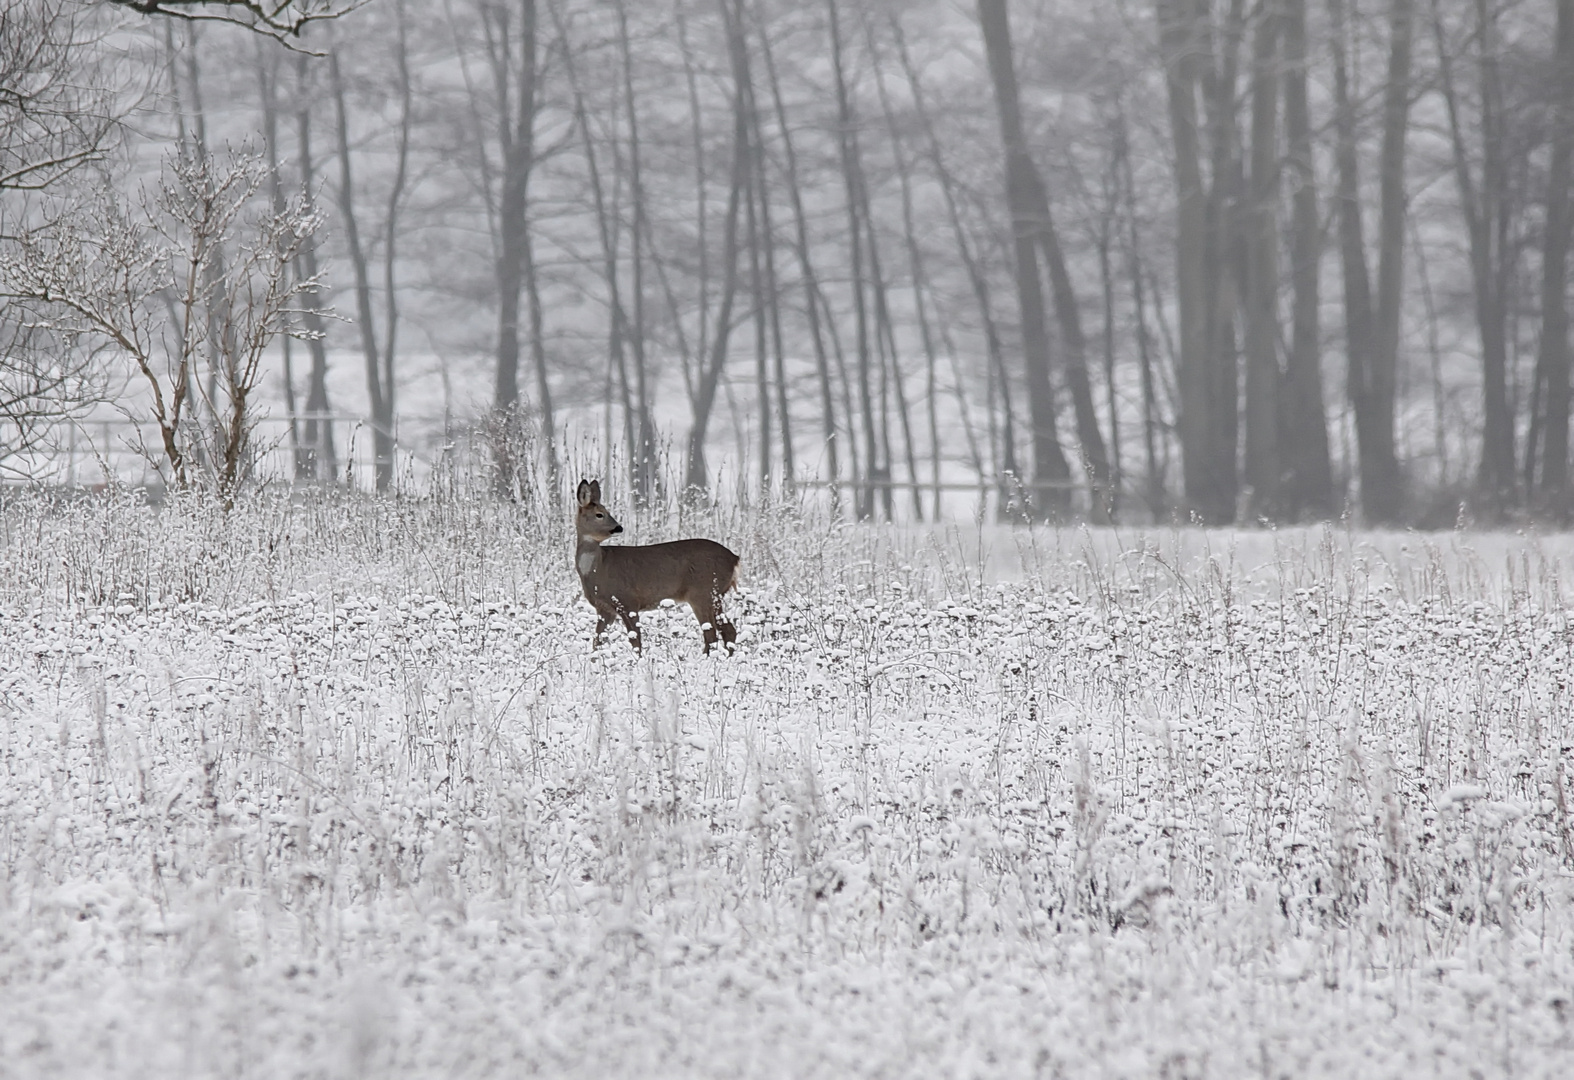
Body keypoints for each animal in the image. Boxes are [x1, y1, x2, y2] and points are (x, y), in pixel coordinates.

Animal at [576, 478, 739, 654]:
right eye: (599, 514)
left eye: (606, 511)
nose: (618, 527)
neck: (598, 568)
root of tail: (734, 559)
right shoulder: (604, 609)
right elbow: (597, 642)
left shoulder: (627, 600)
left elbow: (635, 640)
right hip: (714, 594)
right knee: (727, 630)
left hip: (703, 591)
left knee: (711, 634)